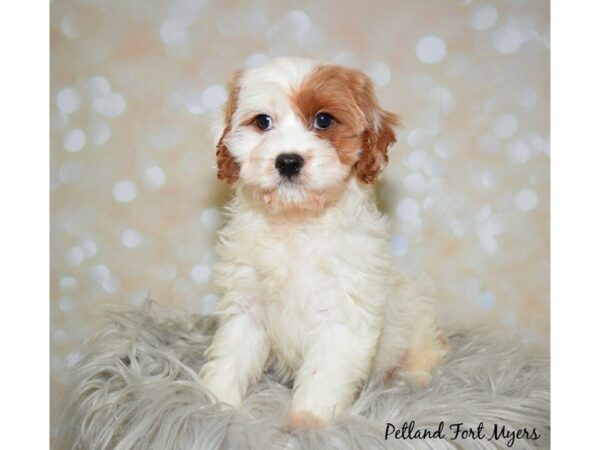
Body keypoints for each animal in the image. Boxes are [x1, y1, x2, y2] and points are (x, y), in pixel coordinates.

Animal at [199, 57, 448, 428]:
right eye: (263, 122)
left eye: (324, 120)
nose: (288, 161)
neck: (296, 221)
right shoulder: (247, 304)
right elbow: (231, 355)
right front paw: (214, 405)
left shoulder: (343, 314)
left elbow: (323, 373)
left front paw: (308, 423)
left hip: (416, 326)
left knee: (423, 353)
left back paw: (412, 377)